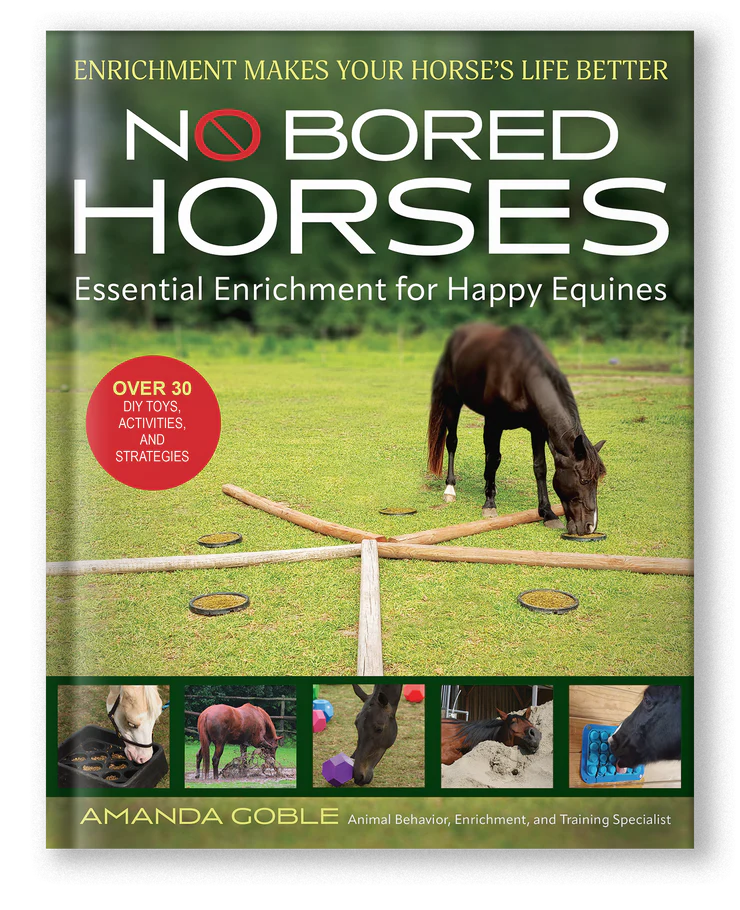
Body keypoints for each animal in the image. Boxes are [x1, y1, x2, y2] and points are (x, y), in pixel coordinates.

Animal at [427, 322, 606, 534]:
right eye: (584, 480)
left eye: (597, 480)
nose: (590, 526)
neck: (520, 375)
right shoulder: (494, 422)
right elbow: (494, 459)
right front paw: (489, 505)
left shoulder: (537, 429)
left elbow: (540, 468)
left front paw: (548, 513)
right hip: (453, 401)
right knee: (452, 442)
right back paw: (450, 489)